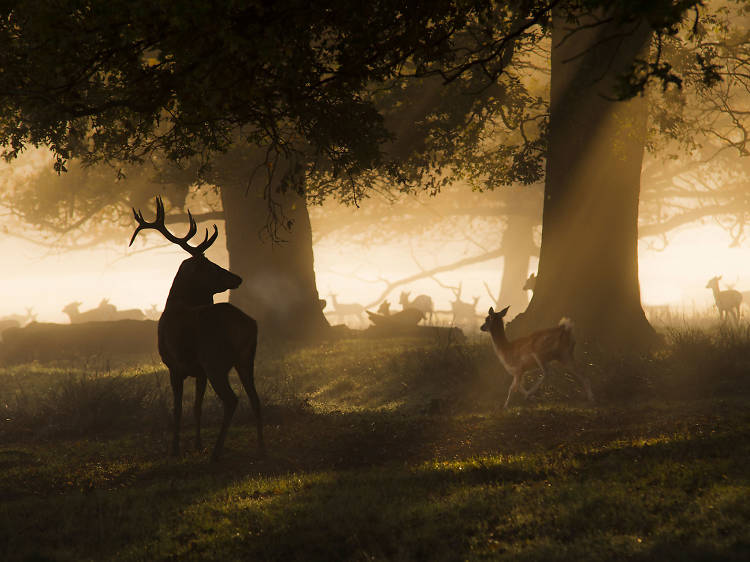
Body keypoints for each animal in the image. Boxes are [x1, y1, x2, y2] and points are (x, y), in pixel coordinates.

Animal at [127, 197, 262, 460]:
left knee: (232, 400)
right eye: (212, 267)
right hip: (246, 358)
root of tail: (249, 325)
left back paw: (217, 453)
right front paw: (197, 445)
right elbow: (197, 407)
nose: (237, 278)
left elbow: (178, 408)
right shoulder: (199, 372)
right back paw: (263, 447)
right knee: (255, 397)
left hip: (215, 360)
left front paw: (175, 449)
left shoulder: (174, 365)